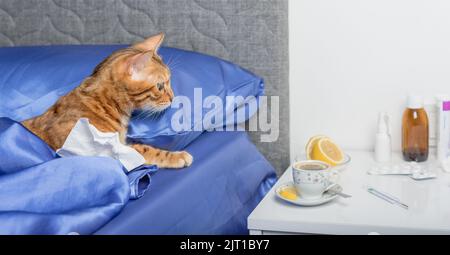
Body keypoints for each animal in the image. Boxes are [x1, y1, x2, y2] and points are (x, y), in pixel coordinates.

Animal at [22, 33, 193, 169]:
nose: (173, 97)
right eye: (160, 86)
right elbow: (142, 149)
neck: (103, 103)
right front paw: (176, 156)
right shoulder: (104, 151)